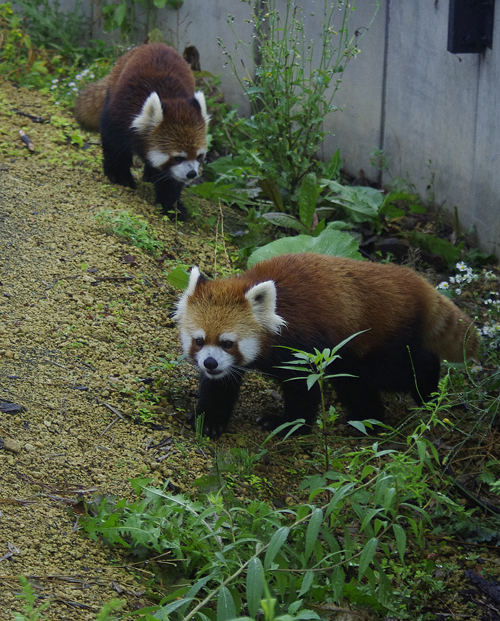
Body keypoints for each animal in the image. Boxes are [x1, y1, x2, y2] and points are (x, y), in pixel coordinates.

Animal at [73, 43, 208, 218]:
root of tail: (154, 44)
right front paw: (120, 176)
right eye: (178, 157)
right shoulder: (119, 115)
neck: (169, 99)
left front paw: (172, 207)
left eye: (199, 156)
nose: (192, 174)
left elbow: (171, 180)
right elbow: (115, 147)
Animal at [174, 251, 478, 436]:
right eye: (200, 341)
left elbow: (302, 389)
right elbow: (220, 385)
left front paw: (288, 424)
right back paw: (366, 420)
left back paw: (427, 394)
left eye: (228, 343)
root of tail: (414, 281)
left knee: (405, 369)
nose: (209, 362)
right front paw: (208, 421)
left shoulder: (301, 341)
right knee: (354, 384)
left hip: (381, 340)